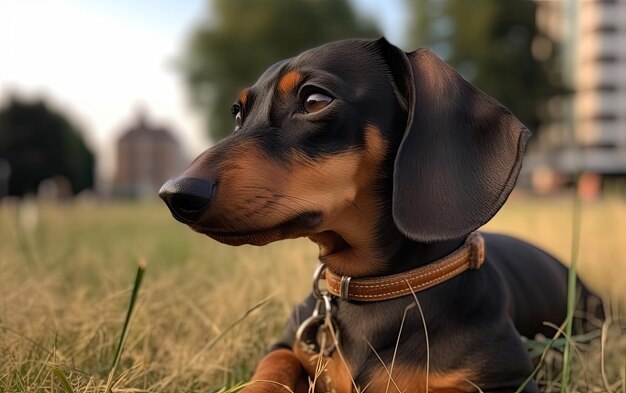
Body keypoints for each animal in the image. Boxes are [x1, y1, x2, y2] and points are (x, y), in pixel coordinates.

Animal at [158, 38, 596, 390]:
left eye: (314, 100)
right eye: (238, 114)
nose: (175, 194)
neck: (374, 290)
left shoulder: (505, 380)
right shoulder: (286, 345)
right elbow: (272, 368)